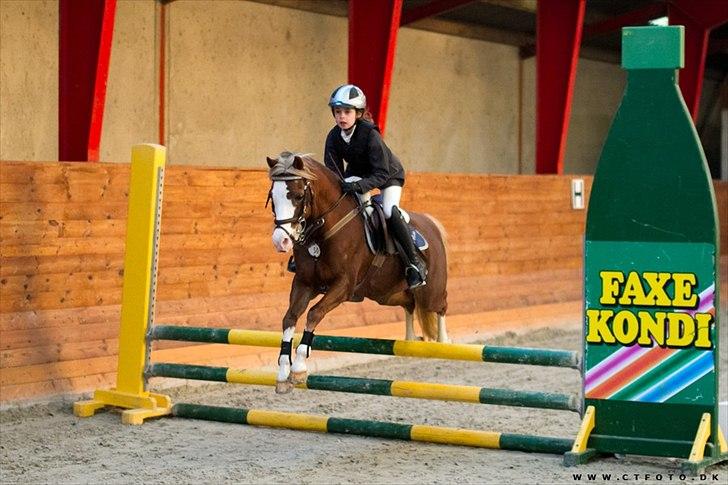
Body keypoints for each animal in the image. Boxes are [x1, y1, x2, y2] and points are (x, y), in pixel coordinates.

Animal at [266, 151, 449, 394]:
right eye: (272, 197)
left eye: (297, 196)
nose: (281, 241)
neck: (325, 229)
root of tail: (432, 224)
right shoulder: (304, 282)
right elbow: (290, 317)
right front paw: (283, 371)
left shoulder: (343, 285)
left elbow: (314, 313)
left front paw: (299, 367)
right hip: (387, 294)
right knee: (409, 304)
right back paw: (410, 339)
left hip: (430, 291)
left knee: (440, 306)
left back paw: (444, 342)